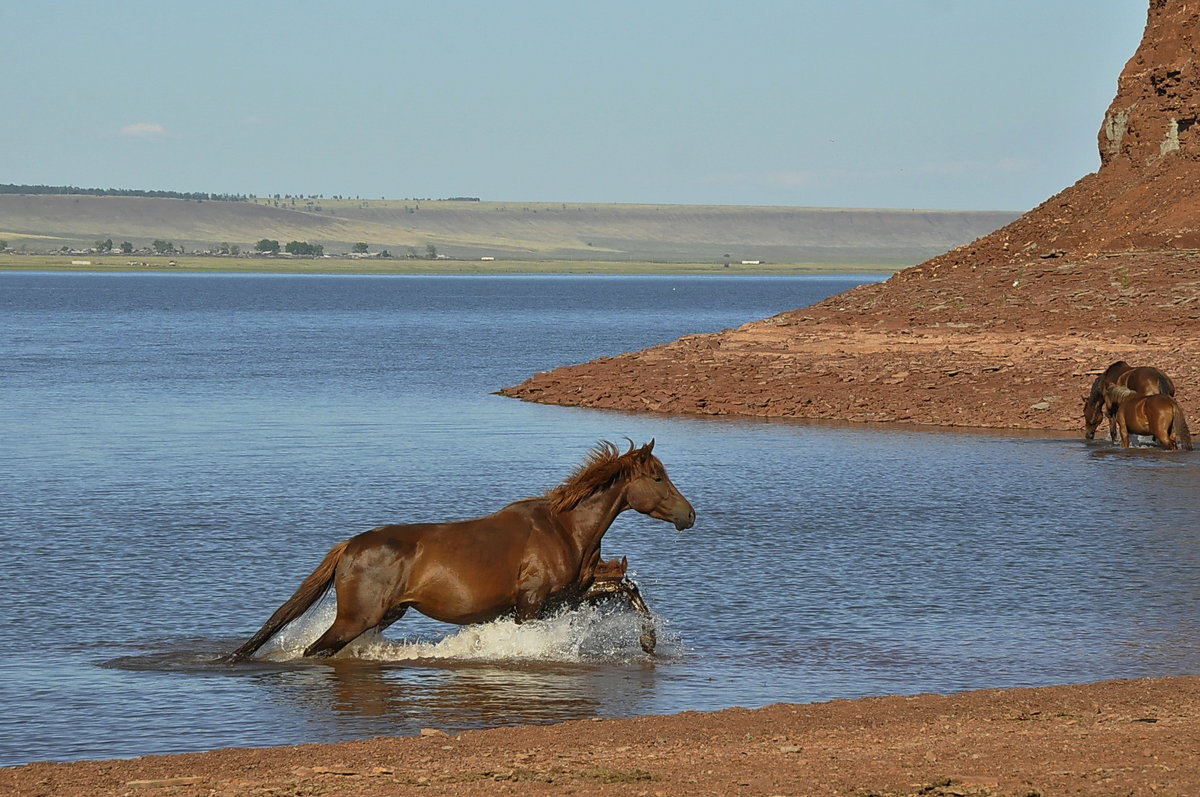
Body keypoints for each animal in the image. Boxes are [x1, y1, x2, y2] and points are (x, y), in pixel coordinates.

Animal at [223, 439, 696, 662]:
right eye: (657, 477)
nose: (688, 515)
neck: (564, 529)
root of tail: (349, 547)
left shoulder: (571, 596)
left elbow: (629, 591)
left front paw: (649, 642)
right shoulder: (532, 604)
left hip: (384, 615)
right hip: (357, 619)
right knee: (313, 650)